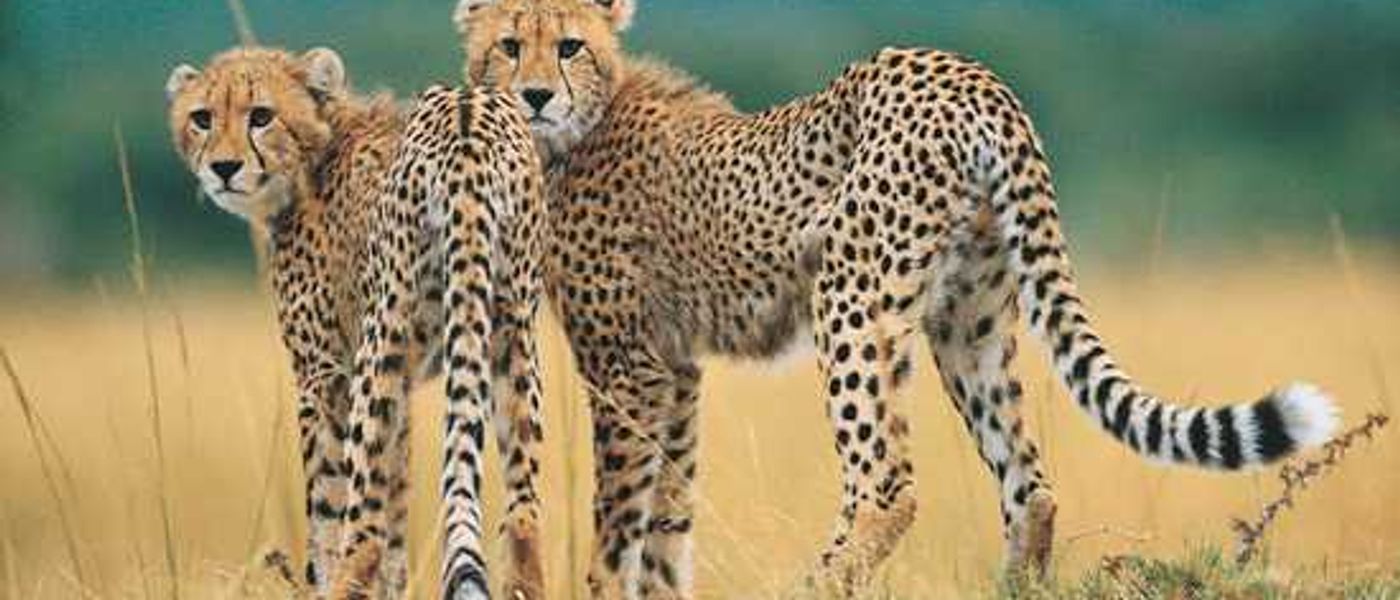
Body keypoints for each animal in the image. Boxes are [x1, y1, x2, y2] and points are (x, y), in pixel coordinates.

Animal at [166, 46, 549, 600]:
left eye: (261, 116)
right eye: (202, 118)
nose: (223, 167)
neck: (316, 155)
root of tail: (466, 116)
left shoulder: (324, 374)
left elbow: (329, 506)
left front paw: (322, 578)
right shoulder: (405, 384)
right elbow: (396, 511)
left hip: (381, 337)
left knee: (362, 529)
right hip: (509, 336)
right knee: (524, 518)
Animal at [453, 0, 1340, 597]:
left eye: (568, 45)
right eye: (509, 46)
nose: (535, 95)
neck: (582, 127)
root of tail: (971, 74)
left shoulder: (627, 365)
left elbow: (620, 517)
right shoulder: (674, 367)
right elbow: (667, 516)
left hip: (850, 293)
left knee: (885, 485)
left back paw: (811, 586)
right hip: (969, 322)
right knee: (1029, 486)